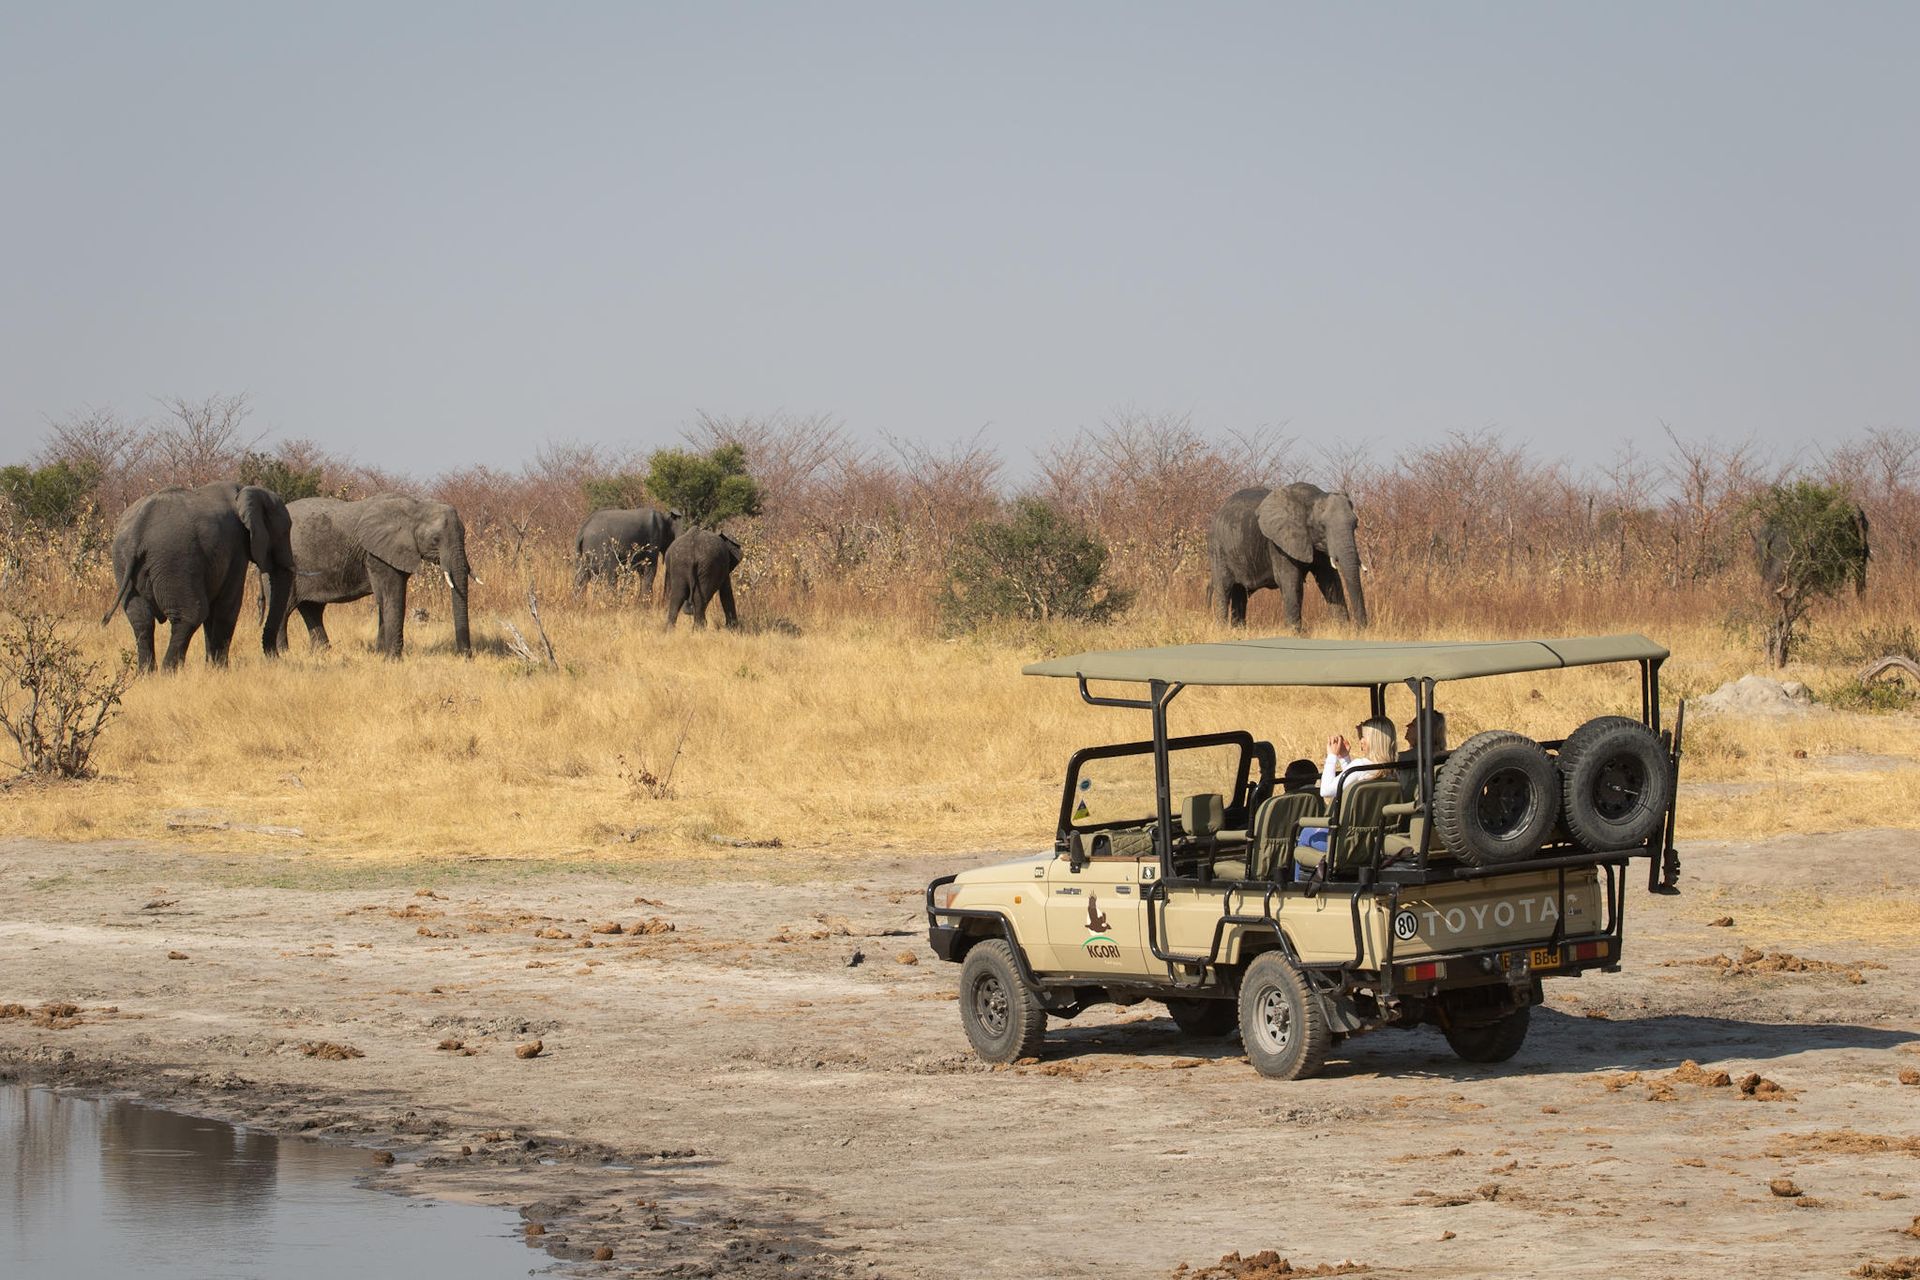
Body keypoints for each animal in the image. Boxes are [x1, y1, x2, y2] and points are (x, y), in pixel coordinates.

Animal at [102, 481, 295, 672]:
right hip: (176, 559)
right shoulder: (236, 548)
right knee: (191, 614)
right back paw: (169, 672)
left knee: (141, 619)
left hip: (122, 561)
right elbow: (227, 607)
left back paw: (147, 674)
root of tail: (138, 530)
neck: (245, 490)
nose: (277, 657)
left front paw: (211, 668)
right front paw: (220, 671)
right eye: (285, 532)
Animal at [269, 493, 472, 658]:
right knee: (286, 607)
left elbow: (385, 599)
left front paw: (380, 654)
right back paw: (283, 652)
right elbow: (392, 598)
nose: (466, 656)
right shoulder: (376, 554)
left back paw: (322, 652)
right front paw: (392, 659)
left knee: (312, 608)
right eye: (435, 540)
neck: (416, 506)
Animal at [1208, 483, 1369, 629]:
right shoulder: (1278, 544)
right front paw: (1295, 632)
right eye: (1322, 526)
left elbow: (1330, 581)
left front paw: (1343, 630)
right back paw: (1222, 630)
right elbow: (1290, 581)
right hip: (1218, 548)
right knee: (1224, 589)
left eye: (1356, 524)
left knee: (1240, 592)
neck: (1313, 497)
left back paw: (1238, 630)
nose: (1361, 628)